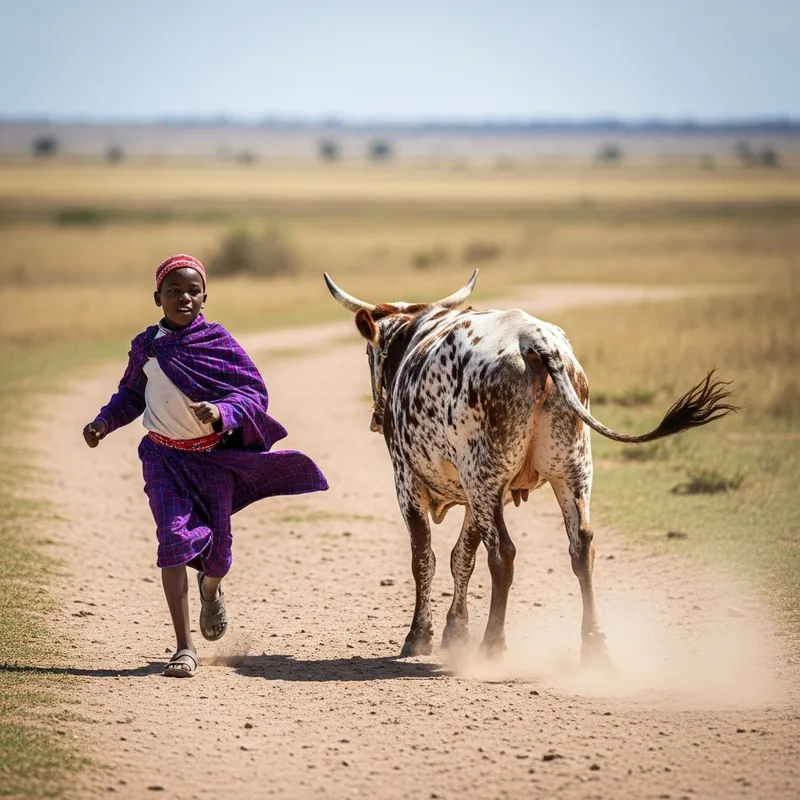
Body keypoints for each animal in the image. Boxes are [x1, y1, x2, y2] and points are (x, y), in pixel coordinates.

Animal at [324, 270, 737, 661]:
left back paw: (493, 646)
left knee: (503, 554)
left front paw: (419, 636)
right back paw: (594, 646)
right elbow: (462, 557)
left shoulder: (409, 481)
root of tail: (534, 341)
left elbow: (426, 558)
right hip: (570, 471)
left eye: (369, 354)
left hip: (485, 476)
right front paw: (455, 632)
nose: (376, 418)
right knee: (581, 547)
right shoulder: (480, 495)